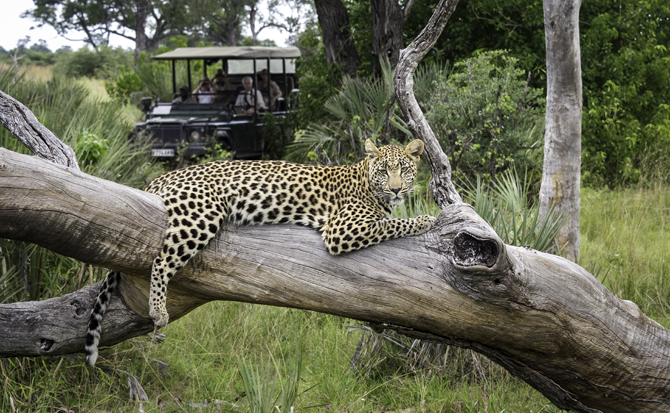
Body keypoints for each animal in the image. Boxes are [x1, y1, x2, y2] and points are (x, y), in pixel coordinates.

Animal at [84, 139, 436, 366]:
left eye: (404, 169)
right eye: (384, 170)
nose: (396, 188)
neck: (367, 180)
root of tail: (164, 175)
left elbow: (391, 220)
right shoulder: (342, 229)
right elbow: (392, 223)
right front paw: (426, 219)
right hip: (202, 214)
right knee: (160, 260)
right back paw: (158, 311)